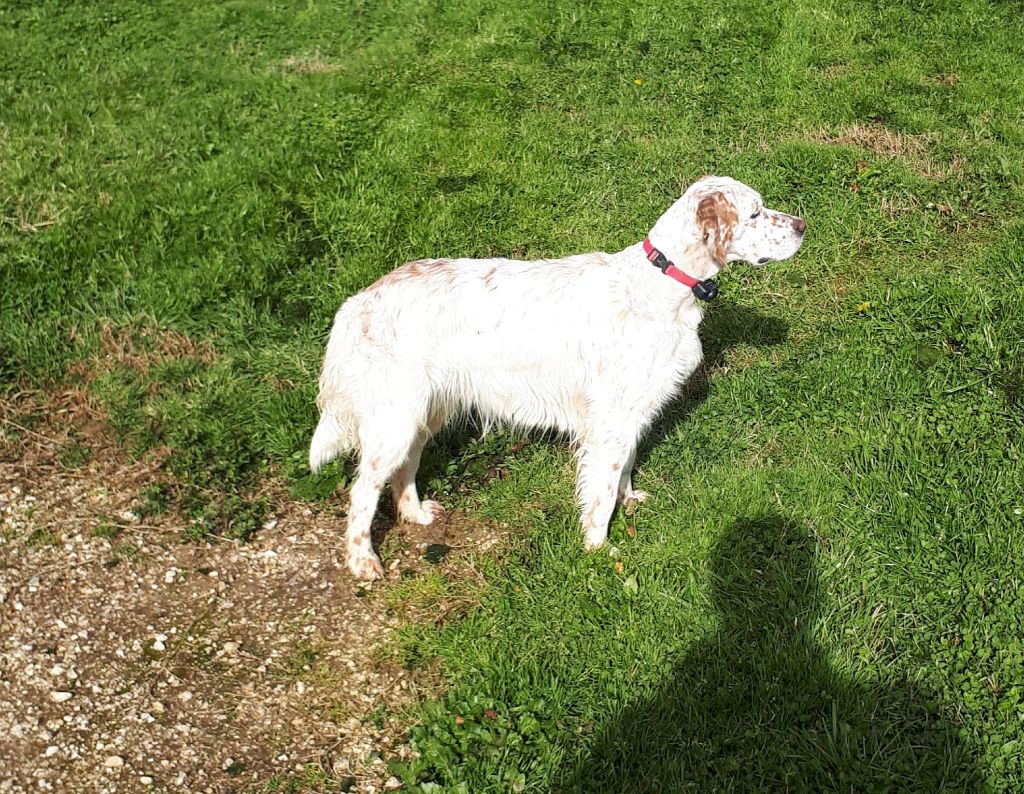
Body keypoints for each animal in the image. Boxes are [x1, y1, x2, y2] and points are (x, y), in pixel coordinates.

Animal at [307, 177, 802, 581]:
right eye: (755, 212)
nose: (802, 224)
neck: (659, 286)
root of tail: (359, 301)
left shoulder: (629, 415)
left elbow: (622, 472)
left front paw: (628, 501)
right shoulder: (611, 421)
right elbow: (600, 492)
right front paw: (599, 549)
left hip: (421, 412)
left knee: (404, 467)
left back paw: (416, 514)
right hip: (393, 417)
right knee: (363, 491)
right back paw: (363, 561)